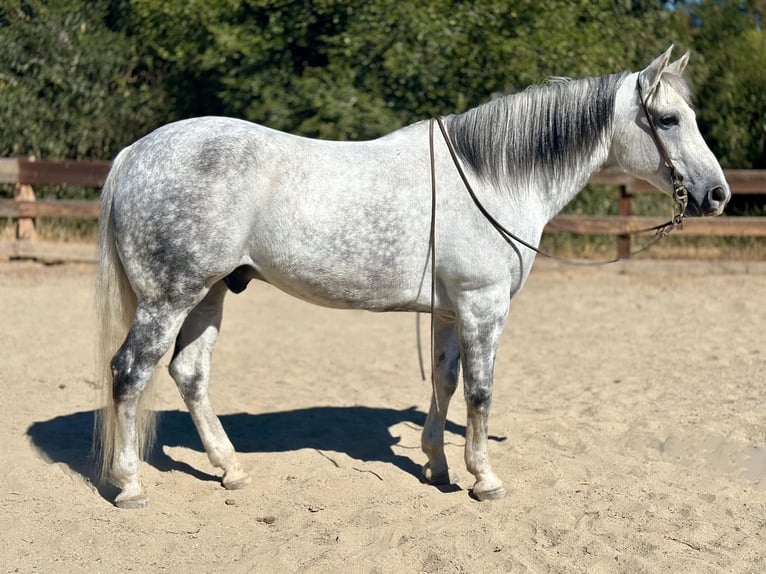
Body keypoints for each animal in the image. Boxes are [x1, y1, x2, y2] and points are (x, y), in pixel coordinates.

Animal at [96, 48, 732, 508]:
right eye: (669, 119)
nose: (718, 194)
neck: (490, 176)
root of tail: (134, 154)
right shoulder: (483, 305)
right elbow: (480, 390)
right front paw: (484, 478)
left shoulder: (451, 310)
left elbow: (445, 385)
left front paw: (437, 465)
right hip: (168, 298)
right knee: (129, 373)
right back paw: (130, 486)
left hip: (207, 294)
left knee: (189, 374)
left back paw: (231, 470)